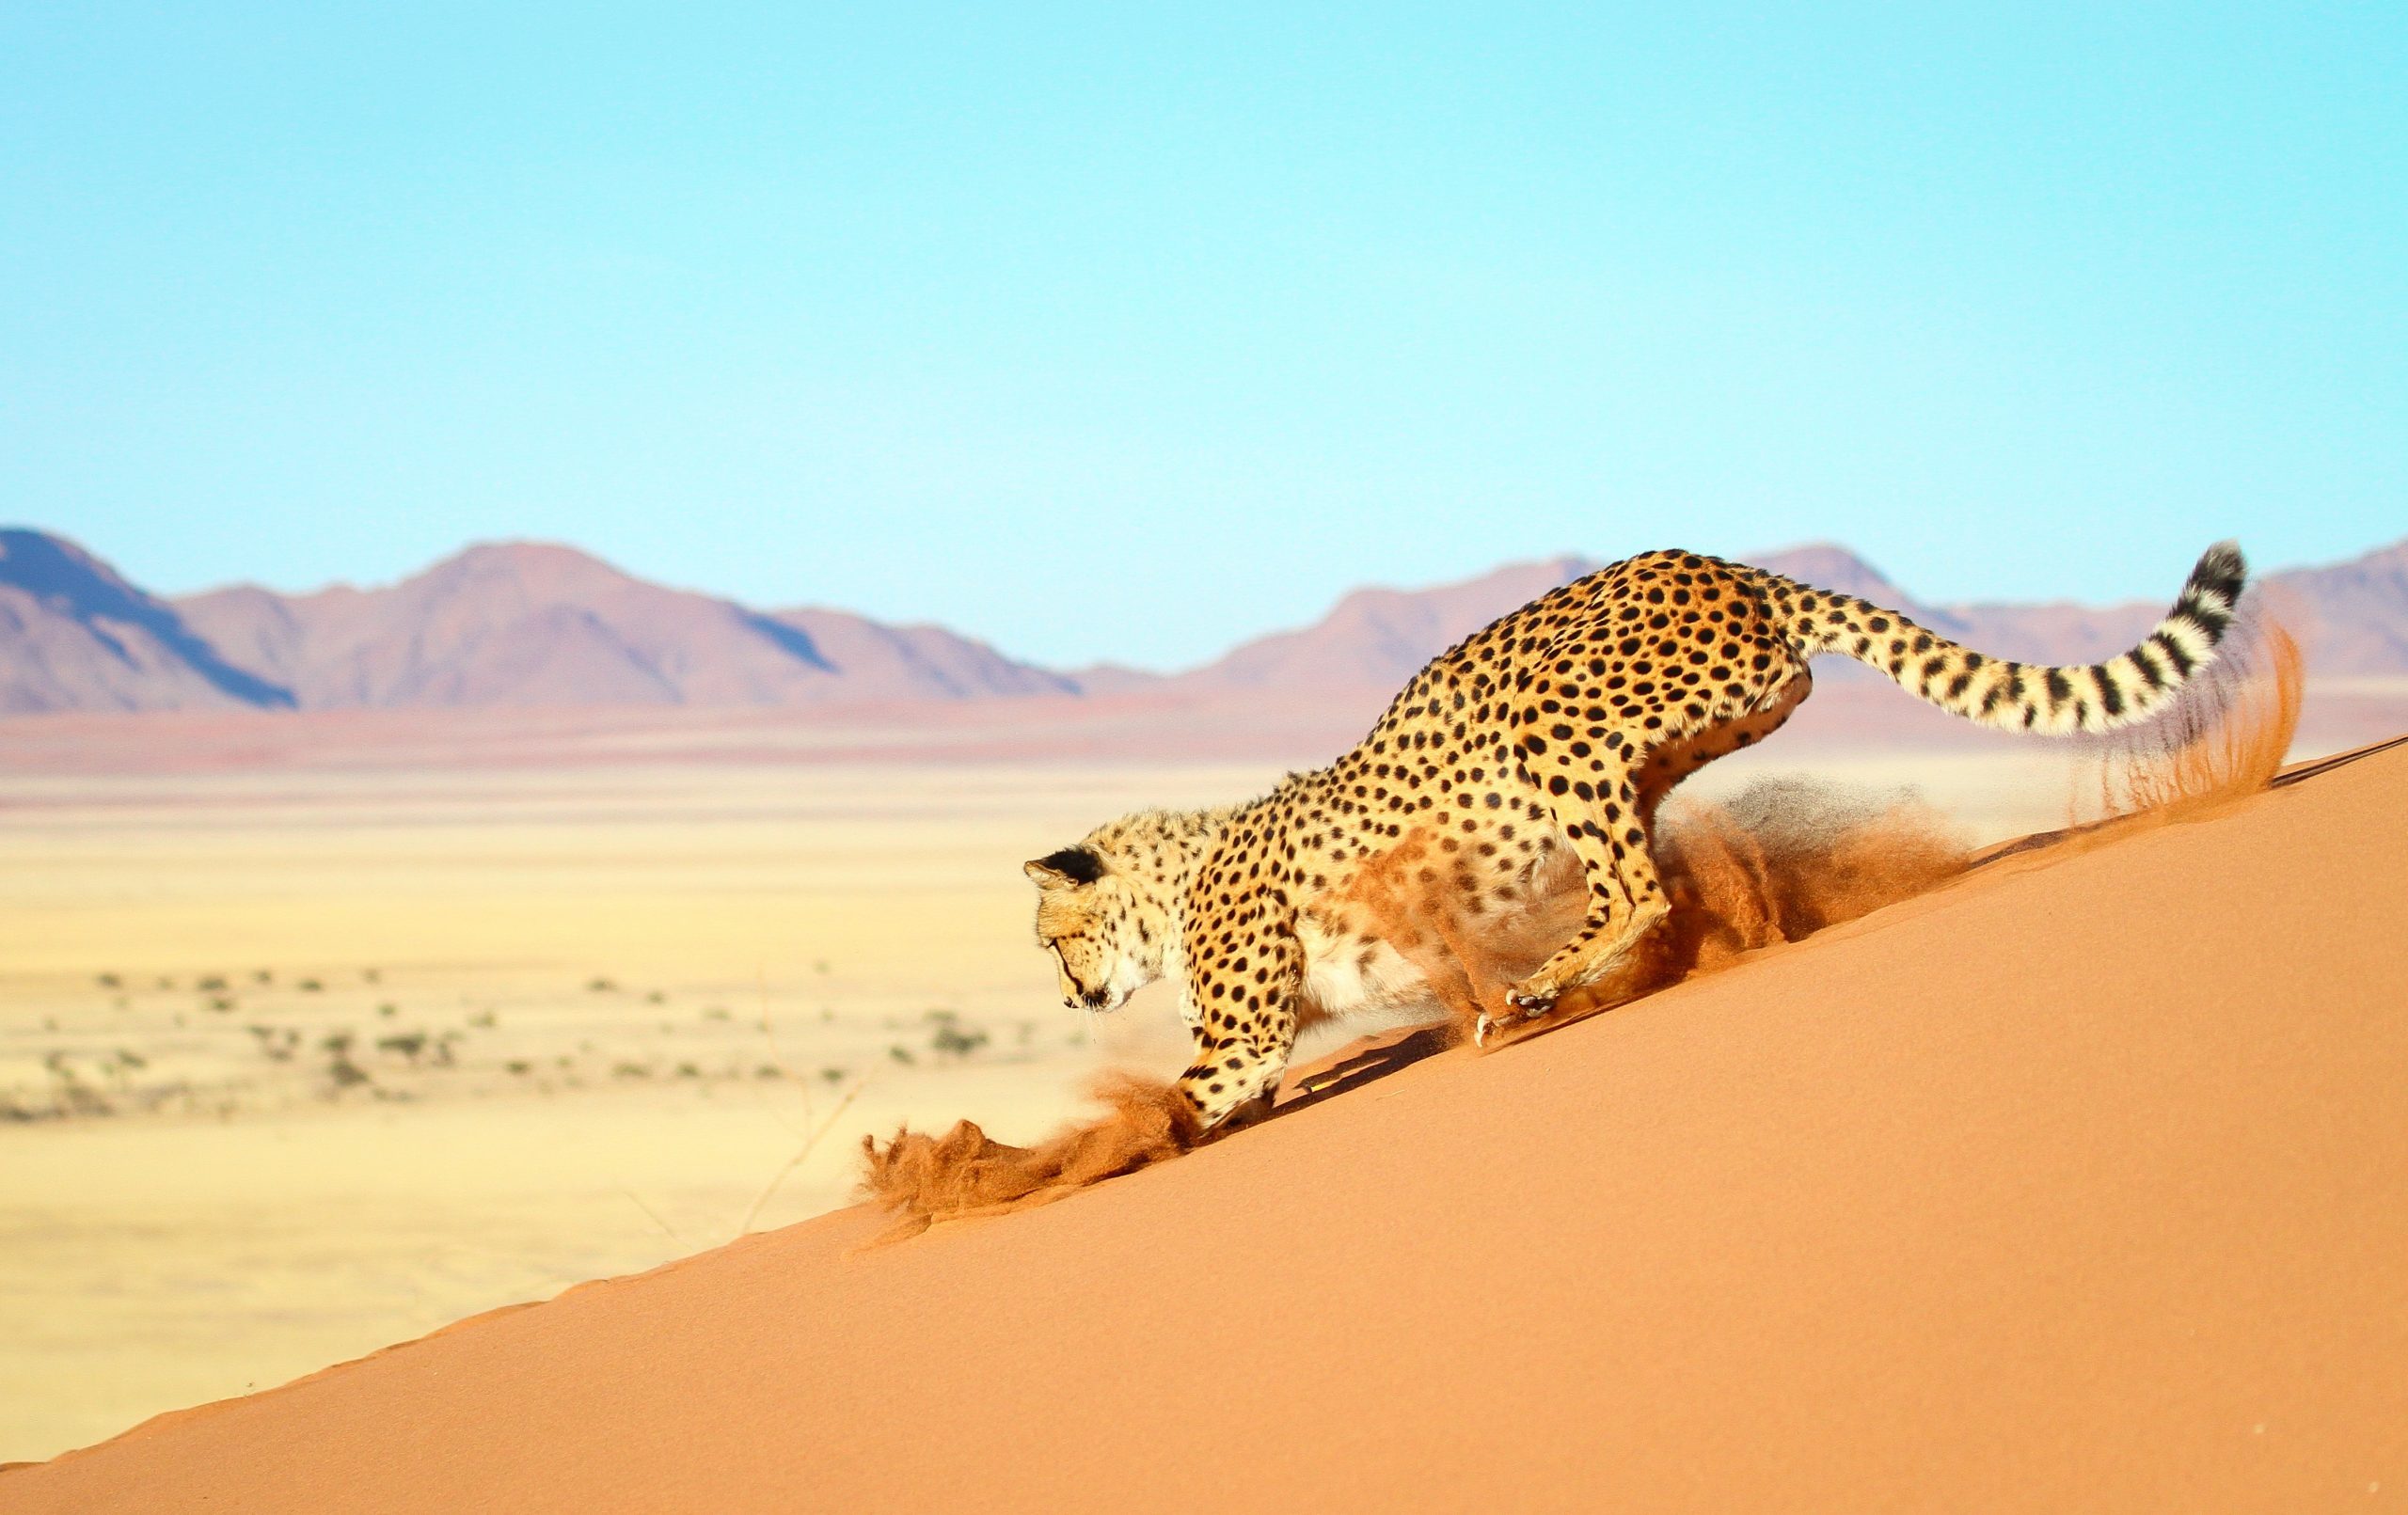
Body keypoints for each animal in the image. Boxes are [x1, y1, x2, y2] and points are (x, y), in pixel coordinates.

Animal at [1025, 539, 2243, 1122]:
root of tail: (1719, 561)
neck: (1171, 882)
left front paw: (1051, 1164)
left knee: (1635, 888)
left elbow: (1165, 1109)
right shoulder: (1265, 1049)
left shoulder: (1245, 1042)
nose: (1071, 1000)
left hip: (1548, 717)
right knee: (1643, 867)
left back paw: (1530, 992)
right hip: (1673, 746)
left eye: (1050, 940)